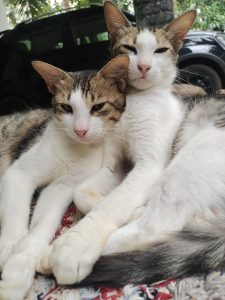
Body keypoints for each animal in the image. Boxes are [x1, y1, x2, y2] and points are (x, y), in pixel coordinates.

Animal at [0, 56, 129, 300]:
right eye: (67, 108)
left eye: (98, 107)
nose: (80, 130)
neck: (74, 149)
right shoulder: (19, 174)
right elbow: (15, 217)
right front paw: (7, 248)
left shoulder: (62, 188)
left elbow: (46, 223)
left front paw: (17, 271)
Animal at [36, 4, 196, 288]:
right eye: (129, 48)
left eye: (160, 50)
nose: (143, 66)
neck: (136, 103)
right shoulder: (113, 164)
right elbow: (83, 194)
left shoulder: (149, 165)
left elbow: (115, 202)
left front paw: (71, 246)